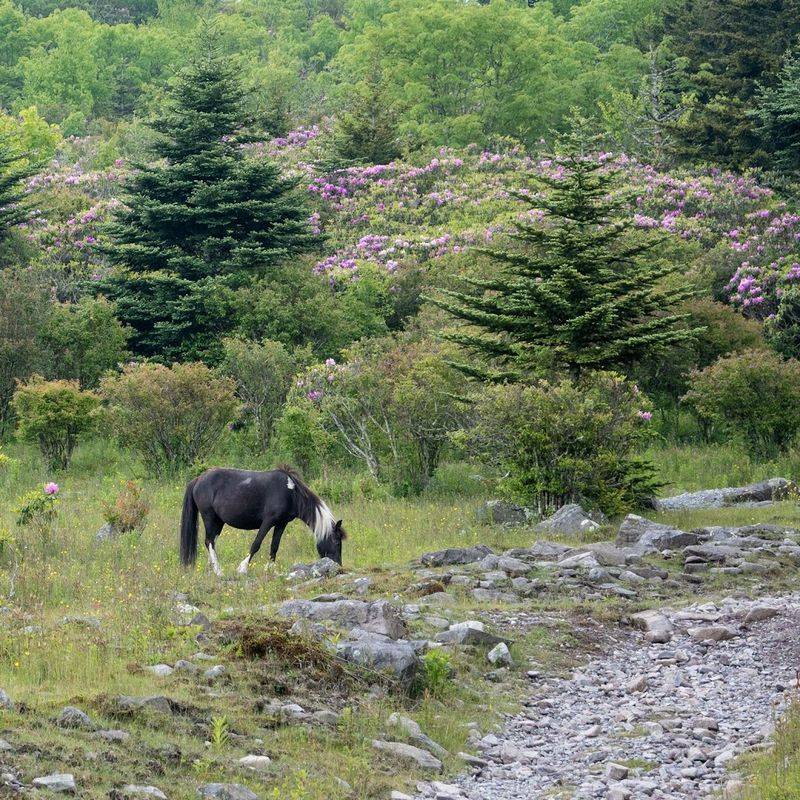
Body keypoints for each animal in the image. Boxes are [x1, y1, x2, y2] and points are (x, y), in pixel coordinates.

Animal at [179, 465, 346, 576]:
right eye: (336, 542)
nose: (338, 567)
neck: (291, 493)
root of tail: (198, 479)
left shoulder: (281, 523)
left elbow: (274, 546)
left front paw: (270, 569)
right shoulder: (268, 521)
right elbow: (256, 544)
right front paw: (243, 568)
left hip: (218, 521)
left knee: (212, 541)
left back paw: (211, 568)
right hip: (209, 517)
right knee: (209, 541)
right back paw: (218, 571)